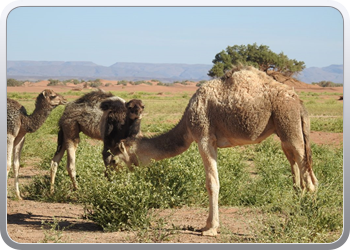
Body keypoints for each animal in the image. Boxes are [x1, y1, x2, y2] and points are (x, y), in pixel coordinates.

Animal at [111, 64, 318, 236]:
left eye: (114, 160)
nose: (111, 178)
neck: (187, 122)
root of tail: (299, 102)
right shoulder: (212, 142)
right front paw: (207, 225)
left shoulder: (204, 138)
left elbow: (211, 183)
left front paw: (210, 229)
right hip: (285, 132)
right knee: (302, 171)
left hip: (289, 124)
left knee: (308, 177)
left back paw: (305, 220)